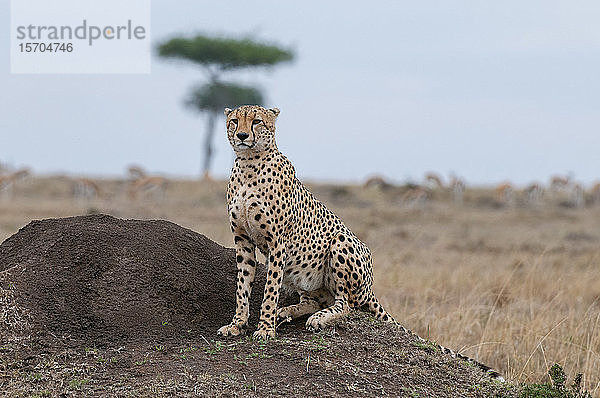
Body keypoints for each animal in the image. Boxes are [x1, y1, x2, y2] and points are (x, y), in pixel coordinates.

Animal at [218, 105, 504, 382]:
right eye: (234, 121)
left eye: (256, 121)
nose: (242, 136)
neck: (248, 165)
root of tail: (370, 287)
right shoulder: (242, 240)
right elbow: (242, 286)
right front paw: (237, 324)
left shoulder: (278, 242)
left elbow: (269, 290)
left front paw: (265, 328)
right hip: (301, 271)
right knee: (317, 300)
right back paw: (288, 311)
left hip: (340, 243)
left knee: (347, 304)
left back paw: (317, 319)